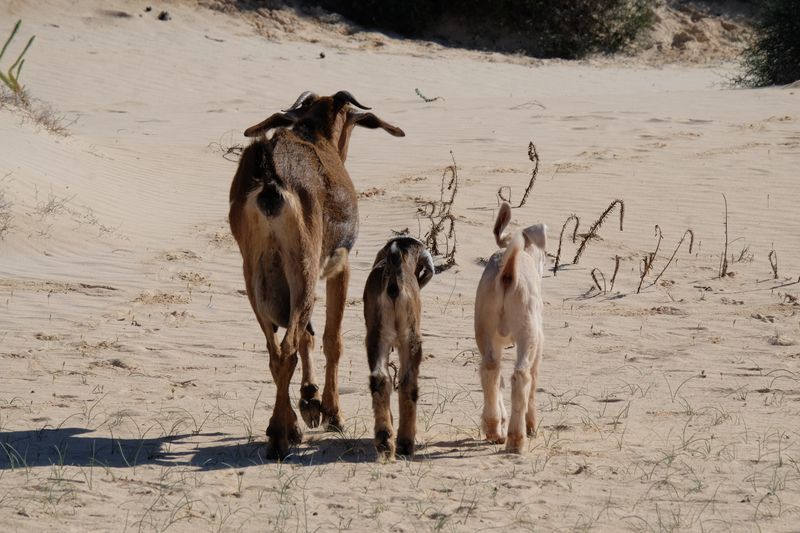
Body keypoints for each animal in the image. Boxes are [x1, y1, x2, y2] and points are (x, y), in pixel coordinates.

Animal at [230, 91, 406, 458]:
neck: (314, 133)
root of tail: (270, 176)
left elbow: (309, 338)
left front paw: (309, 400)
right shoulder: (341, 265)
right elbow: (331, 339)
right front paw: (331, 411)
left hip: (256, 276)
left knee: (277, 350)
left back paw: (286, 426)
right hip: (304, 267)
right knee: (288, 349)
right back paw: (280, 436)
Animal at [366, 235, 434, 460]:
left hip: (376, 337)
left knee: (380, 380)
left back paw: (385, 441)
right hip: (410, 340)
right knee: (408, 384)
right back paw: (405, 442)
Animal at [472, 202, 548, 450]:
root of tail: (507, 273)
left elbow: (499, 383)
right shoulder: (539, 342)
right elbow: (533, 381)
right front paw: (532, 425)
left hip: (484, 329)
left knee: (491, 371)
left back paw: (494, 427)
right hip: (528, 333)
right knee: (522, 376)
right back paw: (517, 439)